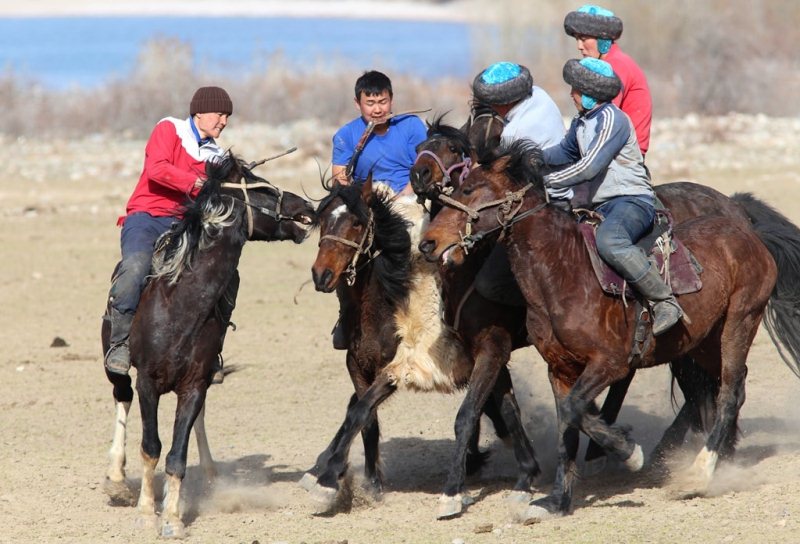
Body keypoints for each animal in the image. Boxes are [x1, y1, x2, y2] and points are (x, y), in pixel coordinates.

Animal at [99, 154, 312, 540]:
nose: (306, 208)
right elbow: (151, 448)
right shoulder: (148, 383)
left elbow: (177, 455)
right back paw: (117, 479)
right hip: (116, 368)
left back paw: (209, 475)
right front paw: (146, 512)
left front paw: (172, 517)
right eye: (259, 186)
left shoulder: (194, 384)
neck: (182, 304)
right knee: (122, 397)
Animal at [304, 178, 540, 520]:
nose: (322, 275)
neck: (391, 301)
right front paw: (364, 483)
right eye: (322, 221)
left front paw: (327, 481)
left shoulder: (402, 366)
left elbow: (361, 411)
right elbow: (363, 418)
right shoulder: (359, 367)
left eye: (357, 223)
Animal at [418, 141, 800, 524]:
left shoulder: (607, 363)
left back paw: (698, 472)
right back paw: (717, 459)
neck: (563, 273)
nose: (428, 243)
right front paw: (557, 500)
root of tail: (745, 228)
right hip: (703, 342)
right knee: (720, 388)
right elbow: (567, 424)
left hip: (740, 320)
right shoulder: (559, 369)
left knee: (730, 392)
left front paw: (627, 451)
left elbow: (572, 409)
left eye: (469, 189)